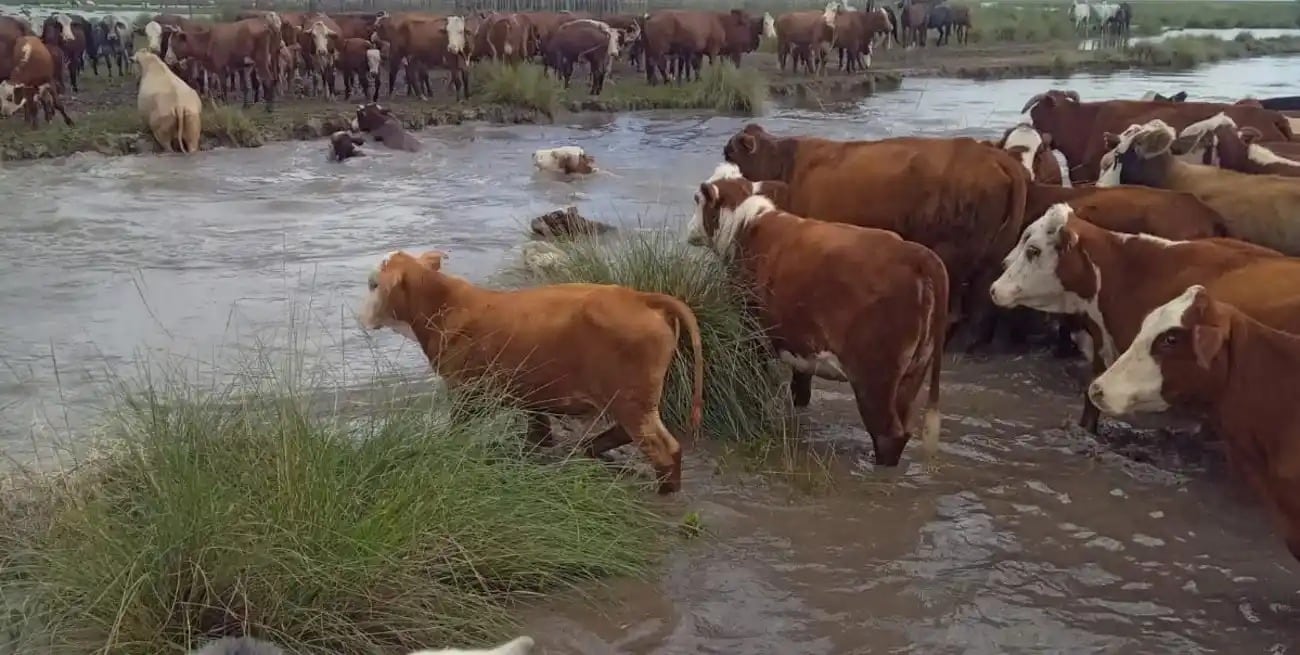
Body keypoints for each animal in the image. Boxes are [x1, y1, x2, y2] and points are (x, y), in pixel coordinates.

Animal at [359, 249, 704, 495]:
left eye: (374, 284)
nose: (360, 316)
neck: (444, 305)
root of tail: (639, 297)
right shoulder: (531, 394)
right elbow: (538, 432)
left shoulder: (466, 393)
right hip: (632, 399)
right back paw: (591, 449)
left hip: (631, 399)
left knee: (664, 450)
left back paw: (665, 491)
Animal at [686, 164, 946, 468]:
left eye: (696, 199)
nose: (689, 230)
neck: (747, 226)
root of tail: (916, 253)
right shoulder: (800, 341)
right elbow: (801, 389)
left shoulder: (750, 332)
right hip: (913, 372)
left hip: (875, 376)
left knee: (888, 433)